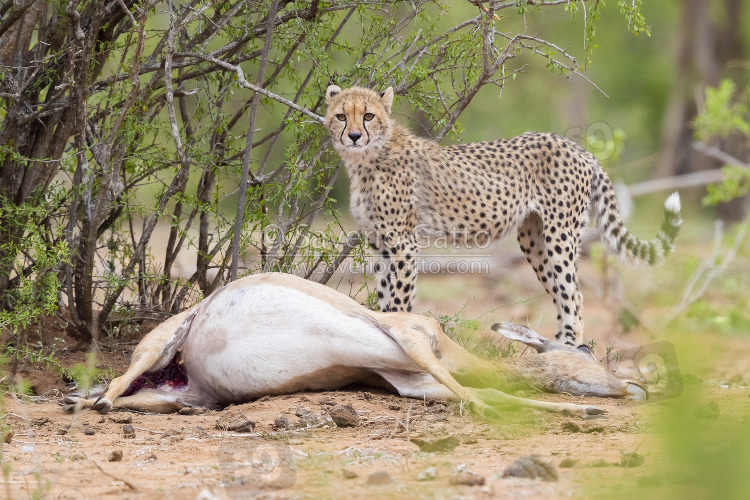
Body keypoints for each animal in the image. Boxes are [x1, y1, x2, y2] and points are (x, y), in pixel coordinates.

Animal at [326, 84, 684, 346]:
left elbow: (399, 297)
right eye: (342, 116)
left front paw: (399, 333)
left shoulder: (402, 241)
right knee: (562, 291)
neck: (367, 158)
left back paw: (568, 347)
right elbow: (384, 293)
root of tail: (574, 146)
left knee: (575, 294)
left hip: (560, 234)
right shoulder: (379, 241)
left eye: (369, 116)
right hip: (533, 237)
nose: (354, 136)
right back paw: (554, 346)